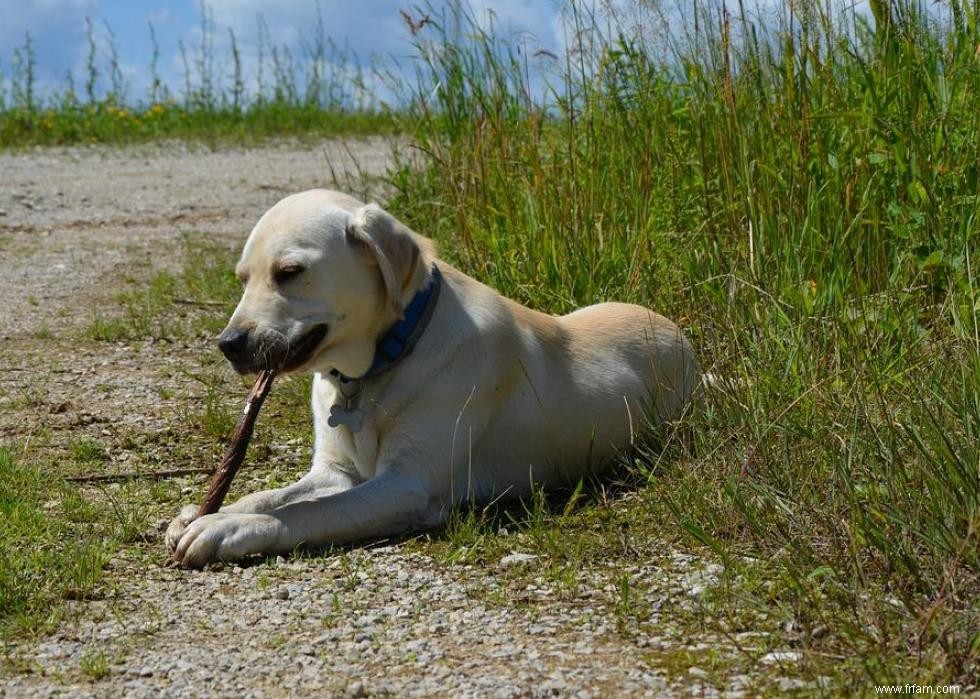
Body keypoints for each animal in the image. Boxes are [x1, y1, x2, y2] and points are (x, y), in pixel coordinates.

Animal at [170, 189, 704, 568]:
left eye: (289, 271)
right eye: (243, 278)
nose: (228, 343)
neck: (374, 369)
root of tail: (683, 335)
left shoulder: (406, 485)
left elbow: (305, 512)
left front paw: (223, 529)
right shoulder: (333, 471)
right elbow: (269, 496)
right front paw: (207, 513)